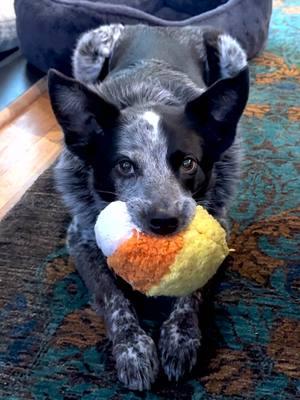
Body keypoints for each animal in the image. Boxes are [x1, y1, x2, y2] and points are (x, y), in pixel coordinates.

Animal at [48, 25, 250, 390]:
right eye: (125, 166)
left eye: (188, 163)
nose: (164, 221)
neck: (147, 96)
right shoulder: (80, 239)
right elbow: (113, 297)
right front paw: (133, 349)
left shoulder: (222, 229)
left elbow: (192, 291)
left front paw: (180, 338)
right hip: (88, 51)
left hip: (231, 51)